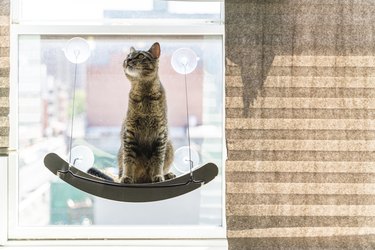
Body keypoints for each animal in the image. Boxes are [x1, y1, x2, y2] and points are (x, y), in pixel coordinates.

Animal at [89, 42, 176, 184]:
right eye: (127, 56)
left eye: (140, 56)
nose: (128, 60)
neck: (144, 93)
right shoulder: (129, 134)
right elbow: (129, 161)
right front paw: (127, 177)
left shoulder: (161, 135)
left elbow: (158, 160)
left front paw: (158, 175)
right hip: (122, 151)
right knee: (121, 171)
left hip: (169, 145)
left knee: (163, 167)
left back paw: (167, 175)